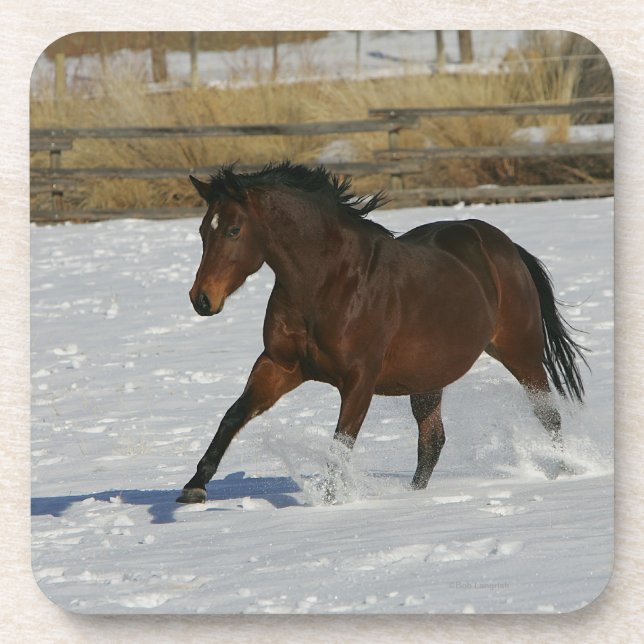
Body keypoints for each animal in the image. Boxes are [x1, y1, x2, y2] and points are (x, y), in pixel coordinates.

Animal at [176, 161, 586, 504]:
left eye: (234, 230)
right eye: (202, 230)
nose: (202, 299)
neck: (327, 282)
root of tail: (506, 247)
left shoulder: (359, 379)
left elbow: (341, 444)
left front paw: (331, 502)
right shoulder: (279, 366)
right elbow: (233, 415)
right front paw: (194, 487)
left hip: (521, 353)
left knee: (549, 416)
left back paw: (564, 472)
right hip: (428, 378)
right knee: (432, 441)